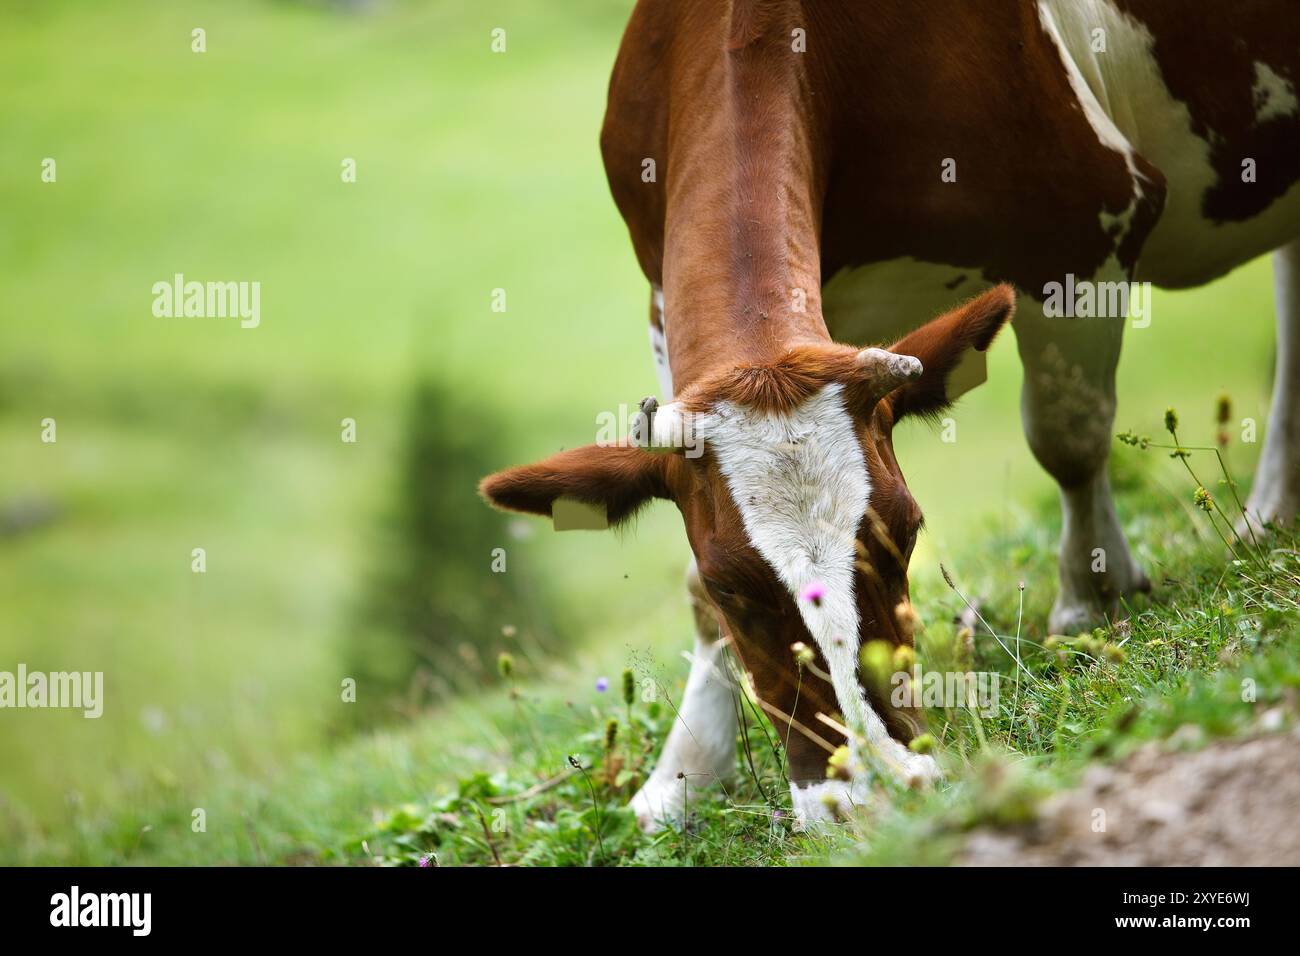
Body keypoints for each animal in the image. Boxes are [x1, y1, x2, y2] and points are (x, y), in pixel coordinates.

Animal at [480, 0, 1300, 827]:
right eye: (729, 586)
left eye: (907, 534)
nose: (877, 791)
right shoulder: (665, 314)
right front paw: (684, 772)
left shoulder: (1082, 230)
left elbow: (1069, 436)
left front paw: (1089, 597)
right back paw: (1272, 510)